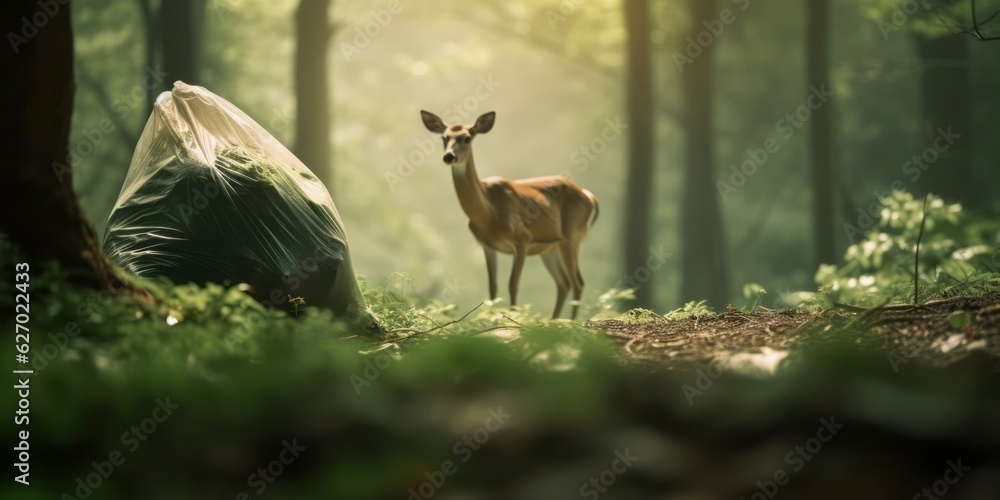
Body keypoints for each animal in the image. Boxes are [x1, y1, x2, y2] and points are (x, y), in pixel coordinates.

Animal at [420, 110, 599, 319]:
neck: (489, 214)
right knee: (563, 283)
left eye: (467, 138)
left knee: (578, 282)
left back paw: (571, 321)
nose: (449, 156)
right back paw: (554, 321)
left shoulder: (522, 239)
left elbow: (513, 285)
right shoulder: (487, 245)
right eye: (443, 137)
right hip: (550, 248)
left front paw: (513, 317)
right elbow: (493, 287)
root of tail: (589, 196)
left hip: (572, 237)